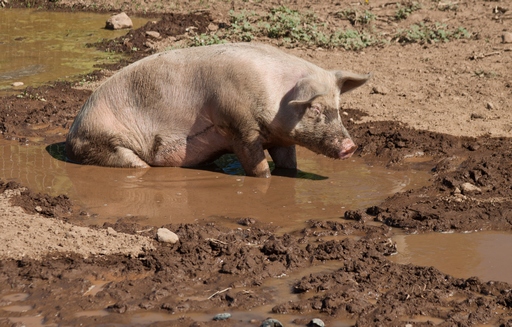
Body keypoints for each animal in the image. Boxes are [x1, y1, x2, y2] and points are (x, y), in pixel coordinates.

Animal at [66, 43, 370, 179]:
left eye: (338, 106)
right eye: (315, 107)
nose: (350, 147)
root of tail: (71, 133)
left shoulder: (281, 139)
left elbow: (289, 164)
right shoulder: (238, 125)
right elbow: (257, 166)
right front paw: (265, 178)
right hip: (106, 143)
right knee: (133, 163)